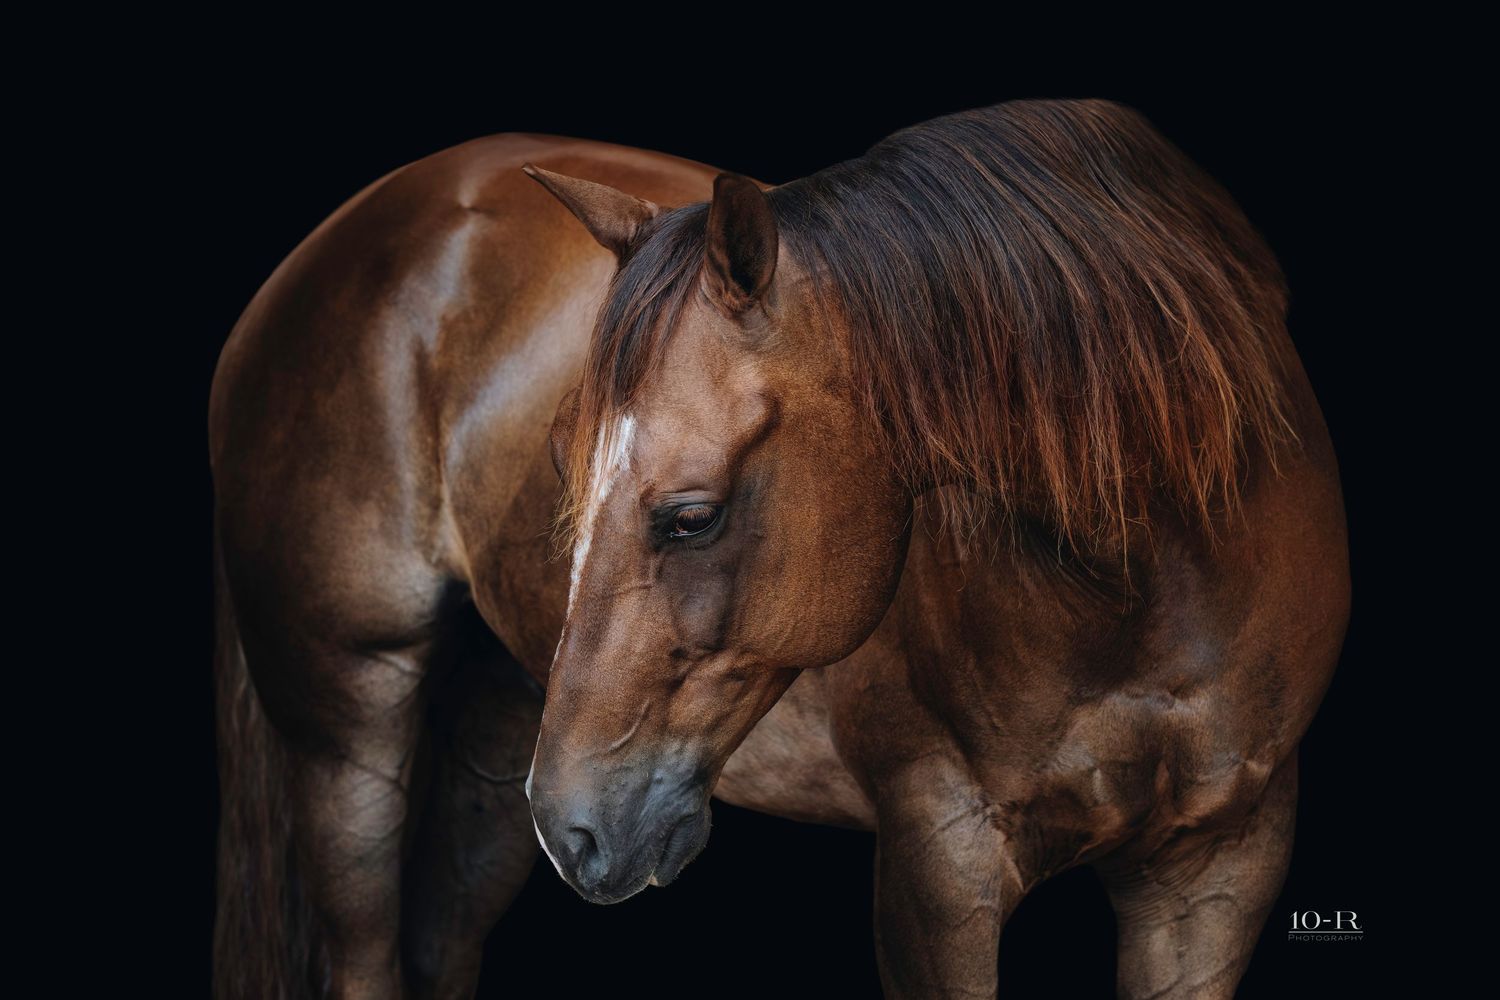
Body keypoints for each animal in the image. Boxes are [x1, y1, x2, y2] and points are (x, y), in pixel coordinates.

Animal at [209, 98, 1349, 999]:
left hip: (495, 727)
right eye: (564, 462)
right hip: (349, 726)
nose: (575, 825)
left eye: (691, 515)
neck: (1146, 590)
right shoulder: (939, 861)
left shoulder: (1218, 868)